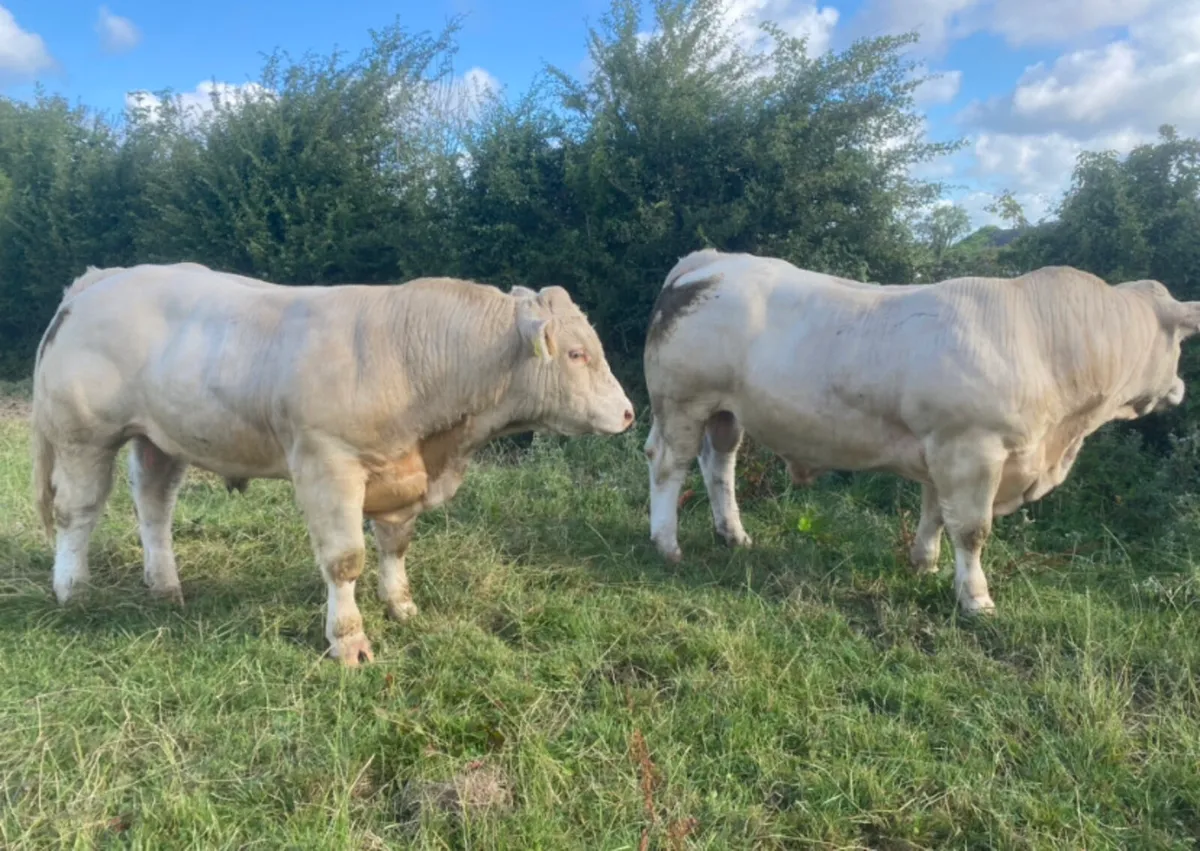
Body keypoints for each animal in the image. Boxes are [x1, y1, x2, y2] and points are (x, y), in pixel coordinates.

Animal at [31, 263, 635, 665]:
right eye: (577, 353)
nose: (629, 413)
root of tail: (101, 279)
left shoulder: (401, 472)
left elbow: (394, 545)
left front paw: (402, 607)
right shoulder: (327, 464)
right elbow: (345, 560)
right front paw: (349, 640)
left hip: (160, 438)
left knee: (154, 509)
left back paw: (166, 588)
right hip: (84, 435)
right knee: (77, 512)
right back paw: (73, 591)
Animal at [642, 248, 1200, 615]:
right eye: (1179, 343)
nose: (1179, 388)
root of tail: (709, 260)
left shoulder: (944, 451)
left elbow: (935, 514)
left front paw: (925, 565)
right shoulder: (972, 450)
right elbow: (972, 530)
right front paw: (976, 599)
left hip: (725, 413)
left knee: (719, 465)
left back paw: (733, 534)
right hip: (683, 403)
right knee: (669, 466)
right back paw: (667, 545)